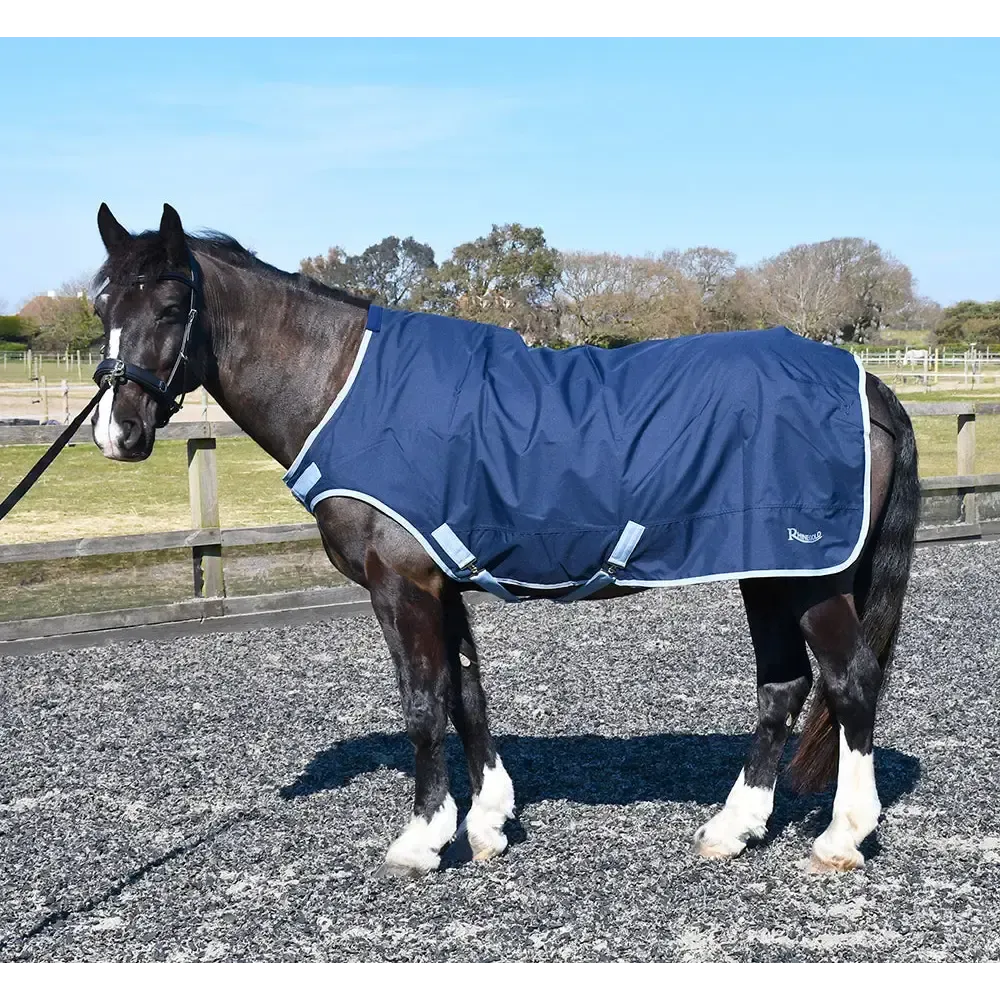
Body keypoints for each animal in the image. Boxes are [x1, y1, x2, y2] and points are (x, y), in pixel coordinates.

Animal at [89, 203, 920, 878]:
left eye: (170, 304)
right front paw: (487, 822)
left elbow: (423, 703)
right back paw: (734, 827)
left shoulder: (402, 582)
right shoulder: (441, 577)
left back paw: (843, 836)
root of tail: (867, 383)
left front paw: (423, 838)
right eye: (103, 303)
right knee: (783, 687)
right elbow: (466, 693)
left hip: (809, 577)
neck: (345, 388)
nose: (115, 433)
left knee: (849, 683)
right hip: (769, 570)